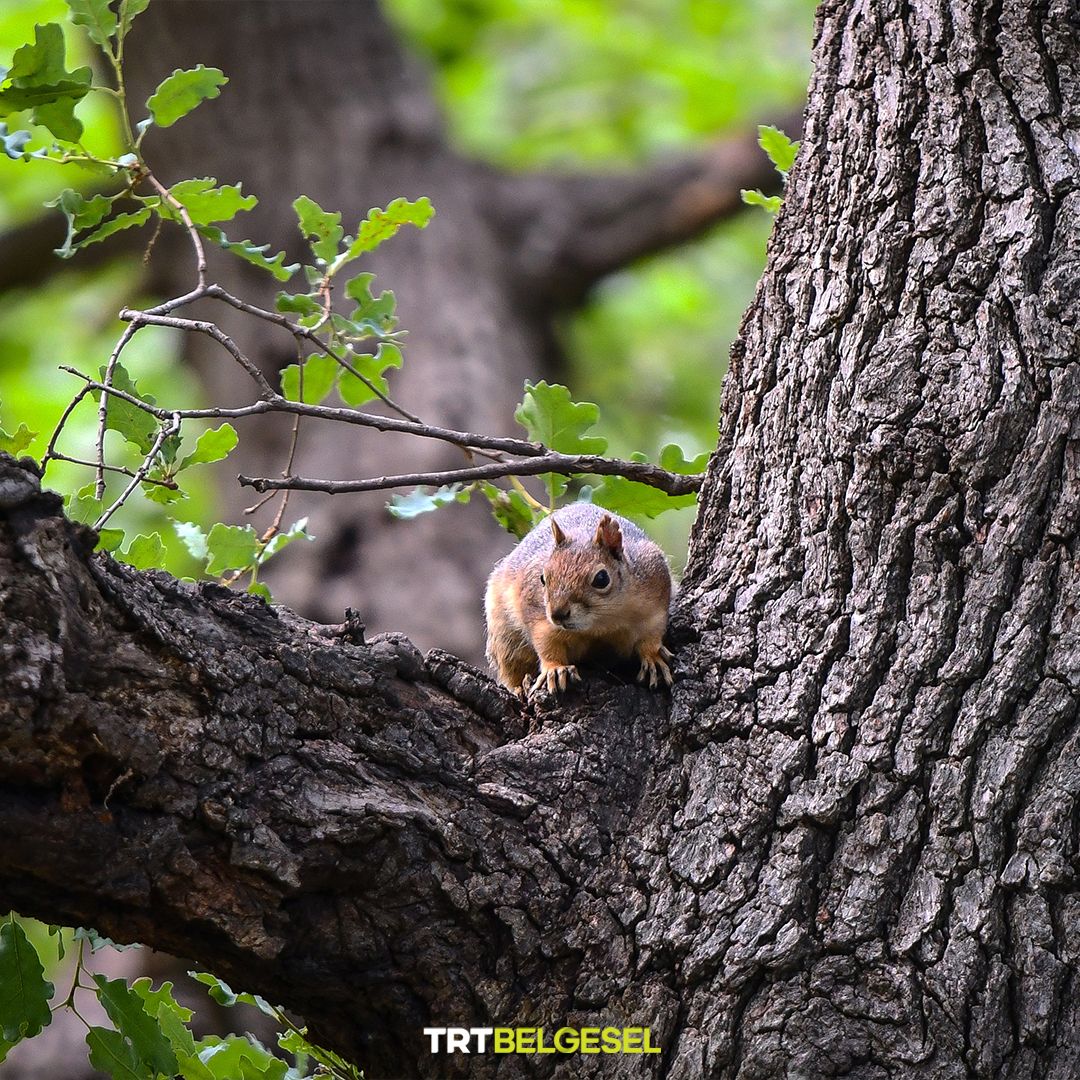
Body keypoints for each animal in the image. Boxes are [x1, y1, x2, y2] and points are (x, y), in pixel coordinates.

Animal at [486, 501, 669, 695]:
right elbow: (546, 644)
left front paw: (652, 657)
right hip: (505, 637)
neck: (601, 621)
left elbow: (651, 634)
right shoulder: (539, 617)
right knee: (513, 667)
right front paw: (554, 669)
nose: (557, 615)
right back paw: (519, 687)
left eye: (601, 578)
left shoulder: (655, 596)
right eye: (542, 578)